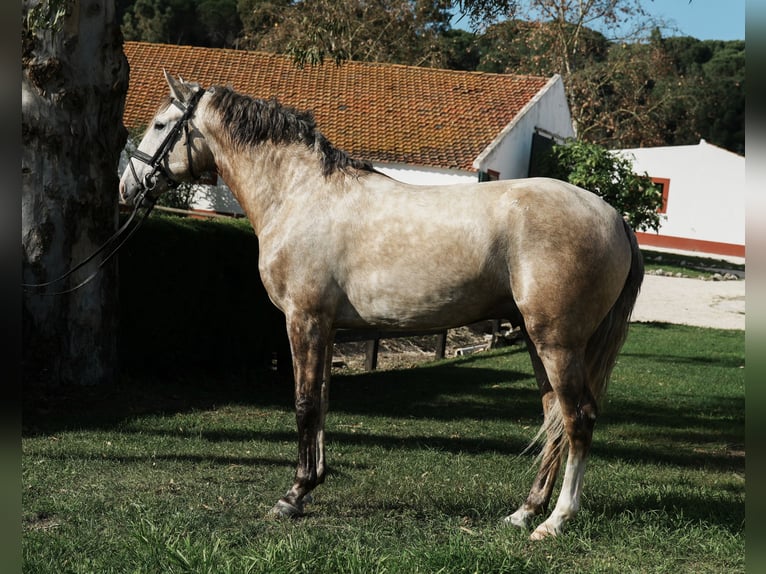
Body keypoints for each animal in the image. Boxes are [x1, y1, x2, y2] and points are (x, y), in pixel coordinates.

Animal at [120, 72, 644, 540]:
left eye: (161, 125)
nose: (128, 186)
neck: (300, 195)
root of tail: (614, 216)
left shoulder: (304, 320)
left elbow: (304, 403)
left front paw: (291, 497)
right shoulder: (328, 327)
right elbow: (323, 401)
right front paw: (310, 484)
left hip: (558, 342)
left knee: (577, 419)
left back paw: (556, 521)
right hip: (541, 341)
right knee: (553, 419)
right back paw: (523, 513)